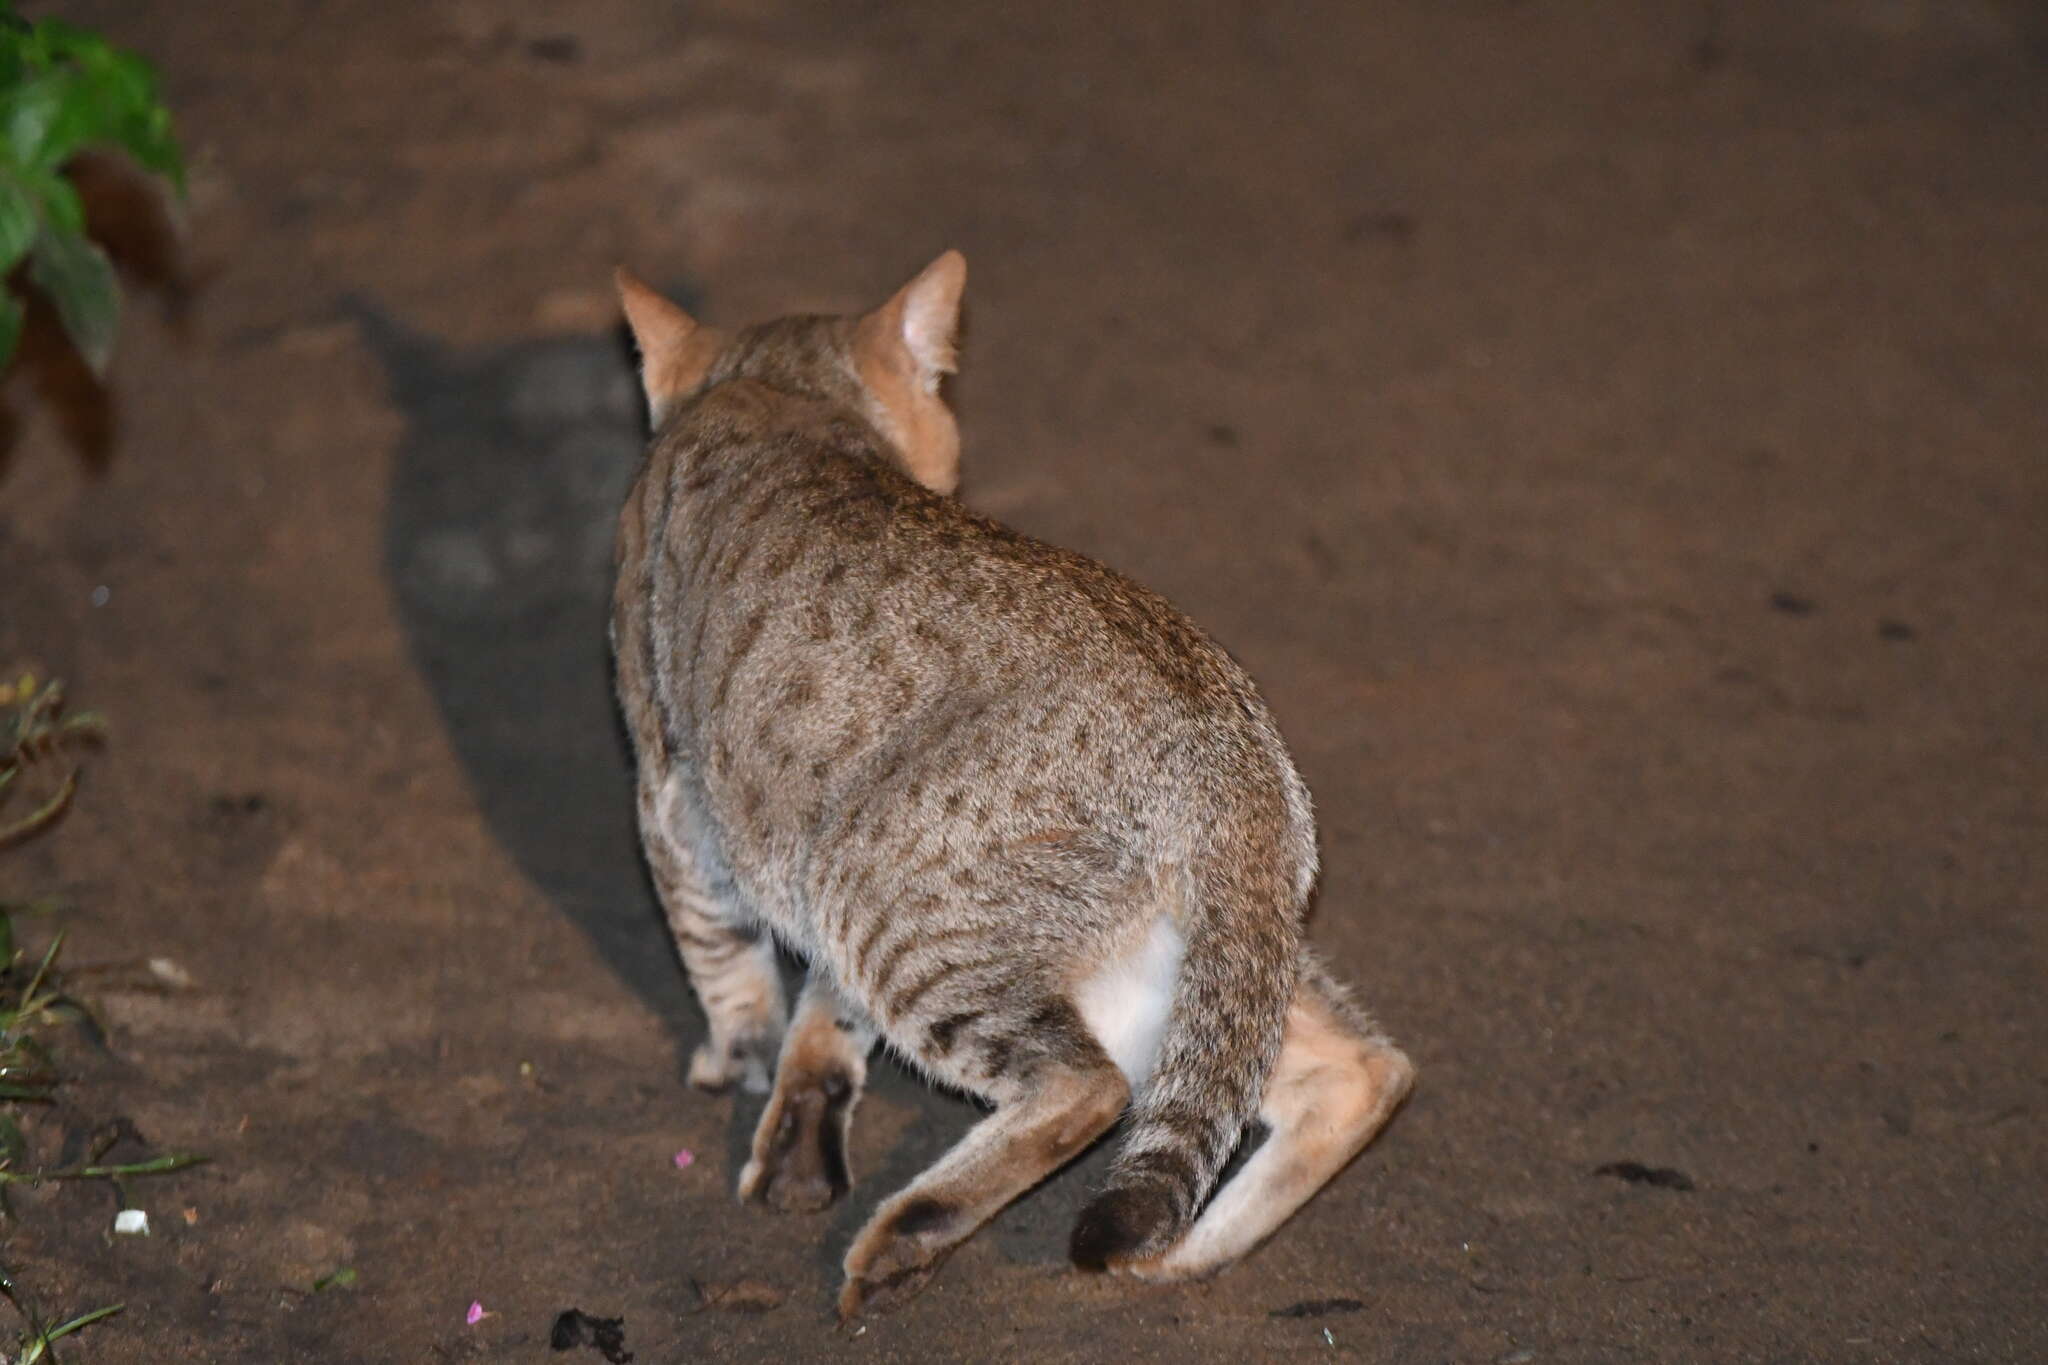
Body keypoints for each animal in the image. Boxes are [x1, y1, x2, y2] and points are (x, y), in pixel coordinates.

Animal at [598, 250, 1417, 1317]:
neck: (787, 391)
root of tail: (1227, 749)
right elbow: (823, 1010)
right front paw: (801, 1105)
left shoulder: (674, 801)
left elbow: (722, 955)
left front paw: (737, 1056)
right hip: (1175, 968)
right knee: (1351, 1068)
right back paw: (1188, 1251)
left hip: (891, 903)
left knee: (1090, 1089)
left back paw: (910, 1233)